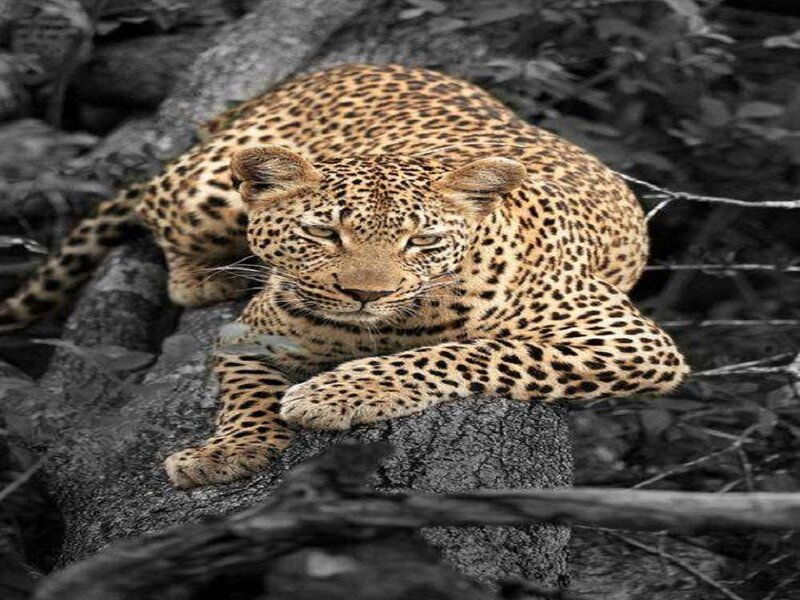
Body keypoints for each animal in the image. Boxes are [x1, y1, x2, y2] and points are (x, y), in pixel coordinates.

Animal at [0, 64, 689, 488]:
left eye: (422, 241)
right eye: (326, 234)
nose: (364, 294)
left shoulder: (628, 341)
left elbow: (472, 352)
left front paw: (337, 393)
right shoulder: (249, 335)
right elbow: (246, 392)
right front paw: (229, 449)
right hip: (211, 188)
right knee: (155, 204)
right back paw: (204, 275)